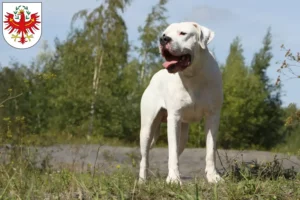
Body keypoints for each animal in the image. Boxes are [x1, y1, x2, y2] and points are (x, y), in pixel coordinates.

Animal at [138, 22, 223, 184]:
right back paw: (142, 180)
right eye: (164, 33)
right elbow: (171, 150)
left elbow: (210, 150)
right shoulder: (174, 117)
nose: (163, 39)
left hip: (183, 135)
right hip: (147, 128)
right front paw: (173, 179)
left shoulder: (213, 116)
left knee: (177, 150)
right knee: (144, 158)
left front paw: (213, 176)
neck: (193, 75)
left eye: (183, 33)